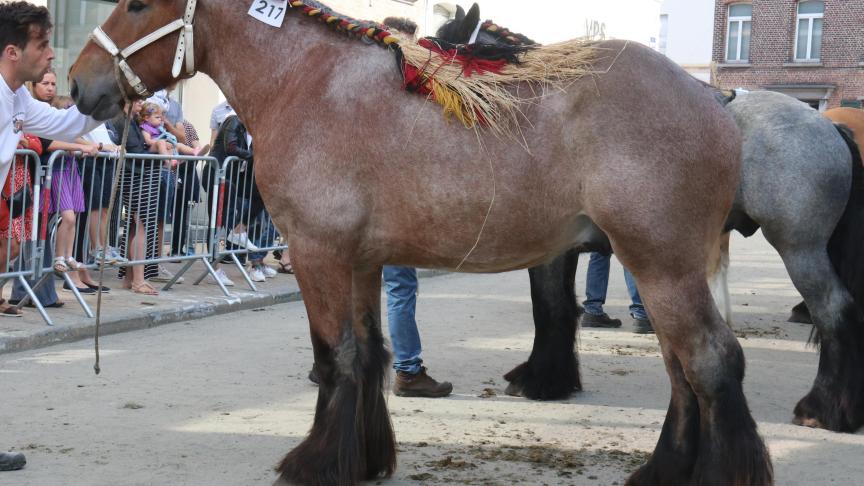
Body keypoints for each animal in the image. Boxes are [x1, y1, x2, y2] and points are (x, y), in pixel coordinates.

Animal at [66, 0, 768, 486]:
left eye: (137, 4)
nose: (76, 83)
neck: (308, 82)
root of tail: (711, 98)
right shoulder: (361, 263)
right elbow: (369, 355)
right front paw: (364, 457)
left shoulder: (318, 254)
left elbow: (336, 359)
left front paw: (317, 461)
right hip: (657, 267)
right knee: (683, 370)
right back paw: (665, 471)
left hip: (662, 265)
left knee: (709, 363)